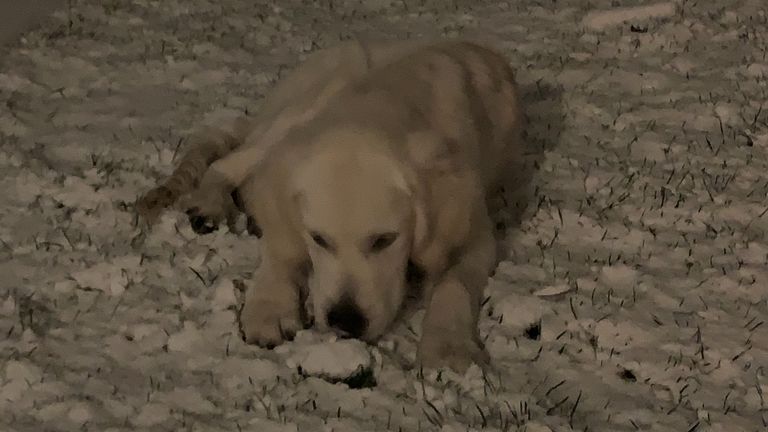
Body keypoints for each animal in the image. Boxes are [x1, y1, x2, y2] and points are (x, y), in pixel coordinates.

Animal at [135, 37, 524, 372]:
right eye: (319, 239)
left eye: (385, 240)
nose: (345, 321)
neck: (386, 98)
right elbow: (280, 249)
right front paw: (270, 306)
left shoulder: (476, 233)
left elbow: (453, 285)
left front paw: (447, 347)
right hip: (289, 117)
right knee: (225, 164)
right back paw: (209, 205)